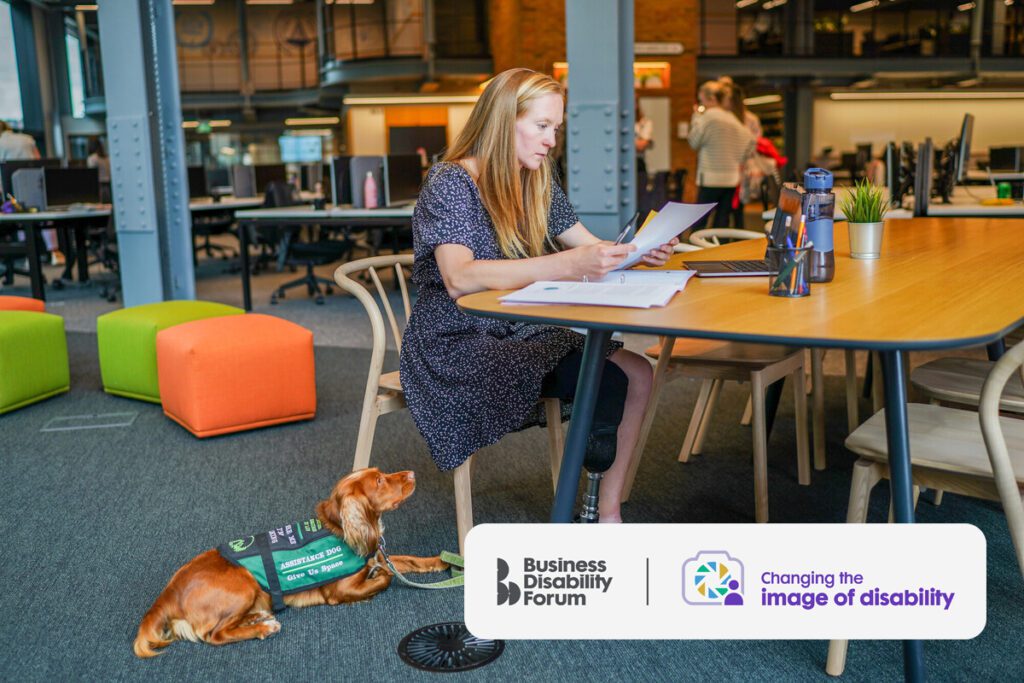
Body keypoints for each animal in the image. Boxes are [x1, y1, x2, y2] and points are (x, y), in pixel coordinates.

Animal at [131, 471, 444, 655]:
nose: (411, 473)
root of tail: (168, 594)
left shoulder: (379, 555)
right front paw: (377, 579)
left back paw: (257, 617)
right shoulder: (340, 591)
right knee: (215, 635)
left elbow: (408, 560)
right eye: (379, 481)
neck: (341, 530)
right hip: (244, 584)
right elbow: (385, 578)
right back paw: (262, 628)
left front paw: (442, 561)